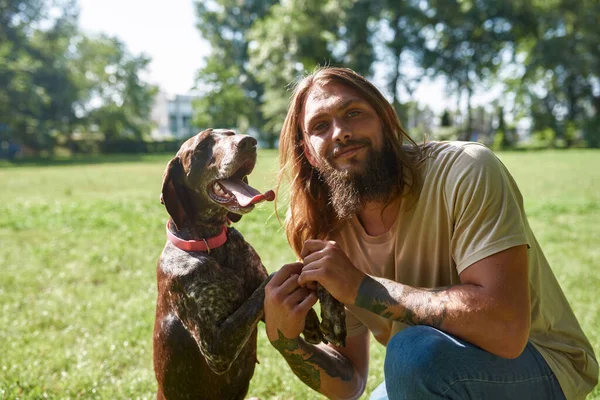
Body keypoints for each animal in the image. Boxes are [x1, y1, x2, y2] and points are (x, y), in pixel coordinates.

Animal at [152, 130, 346, 398]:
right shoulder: (217, 347)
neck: (212, 244)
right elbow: (274, 278)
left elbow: (307, 269)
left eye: (231, 133)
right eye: (202, 146)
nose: (249, 142)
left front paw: (331, 313)